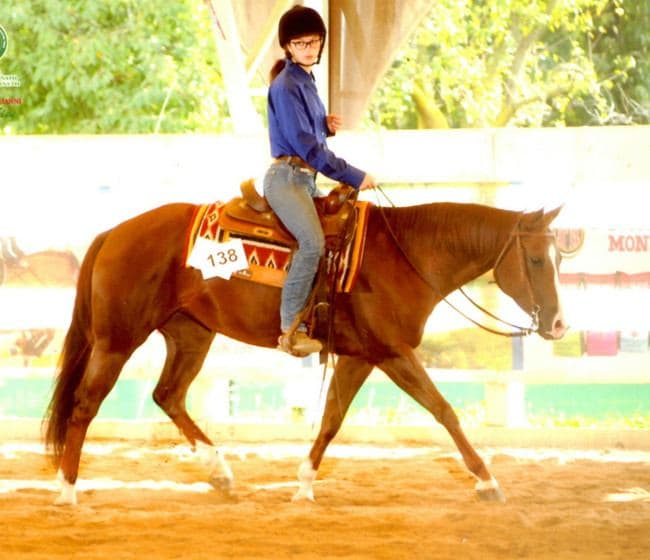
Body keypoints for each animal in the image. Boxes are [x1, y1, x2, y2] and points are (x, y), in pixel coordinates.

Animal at [43, 194, 566, 505]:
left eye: (559, 258)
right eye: (537, 259)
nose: (559, 324)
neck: (405, 255)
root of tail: (114, 233)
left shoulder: (360, 356)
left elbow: (332, 418)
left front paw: (304, 484)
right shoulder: (393, 352)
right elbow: (444, 410)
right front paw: (488, 481)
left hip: (191, 333)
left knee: (168, 395)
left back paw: (221, 473)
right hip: (116, 340)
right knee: (85, 405)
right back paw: (67, 491)